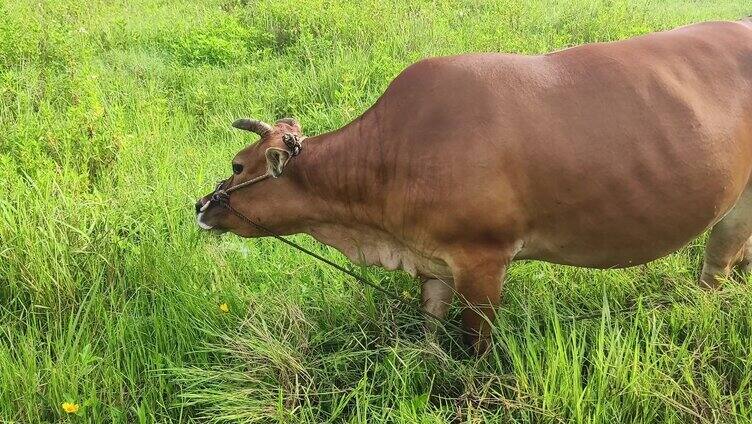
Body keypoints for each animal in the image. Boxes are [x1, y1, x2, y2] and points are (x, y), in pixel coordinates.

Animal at [197, 19, 752, 352]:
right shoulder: (433, 260)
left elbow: (476, 343)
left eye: (238, 166)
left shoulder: (483, 260)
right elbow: (431, 323)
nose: (202, 205)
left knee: (716, 266)